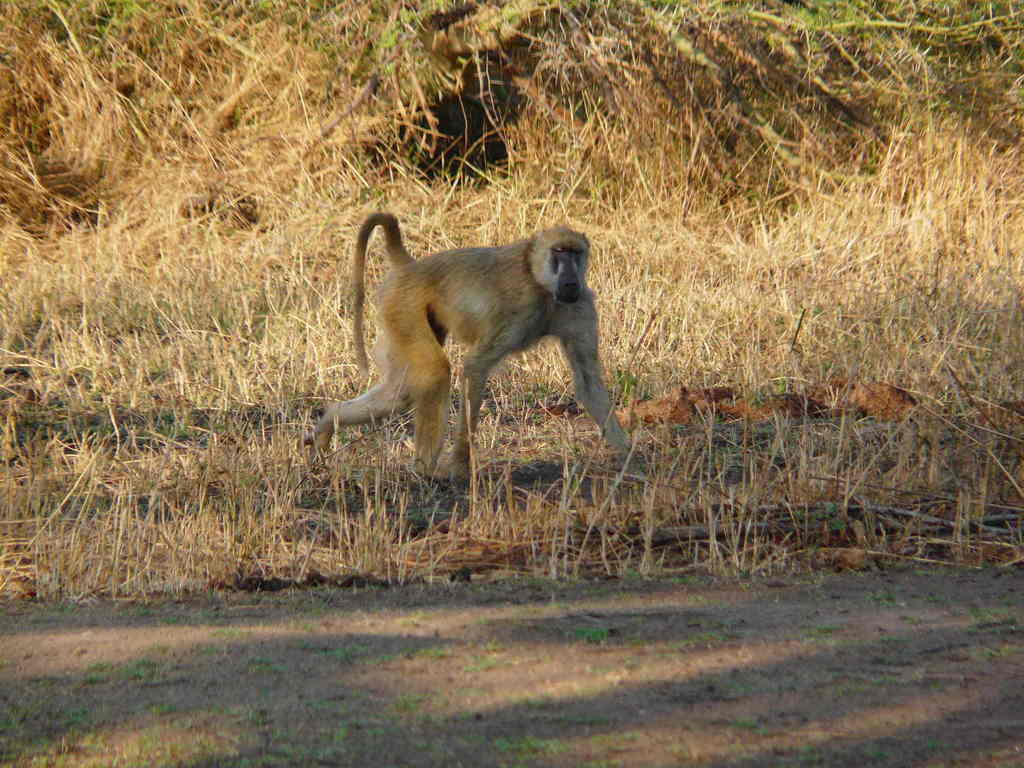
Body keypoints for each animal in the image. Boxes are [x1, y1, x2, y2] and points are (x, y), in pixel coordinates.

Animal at [305, 212, 630, 478]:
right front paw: (460, 465)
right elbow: (474, 367)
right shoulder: (518, 307)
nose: (570, 282)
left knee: (399, 395)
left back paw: (329, 422)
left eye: (576, 253)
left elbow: (588, 382)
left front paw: (631, 458)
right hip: (403, 307)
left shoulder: (580, 306)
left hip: (397, 316)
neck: (541, 284)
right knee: (434, 373)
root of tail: (412, 266)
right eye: (559, 252)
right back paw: (425, 470)